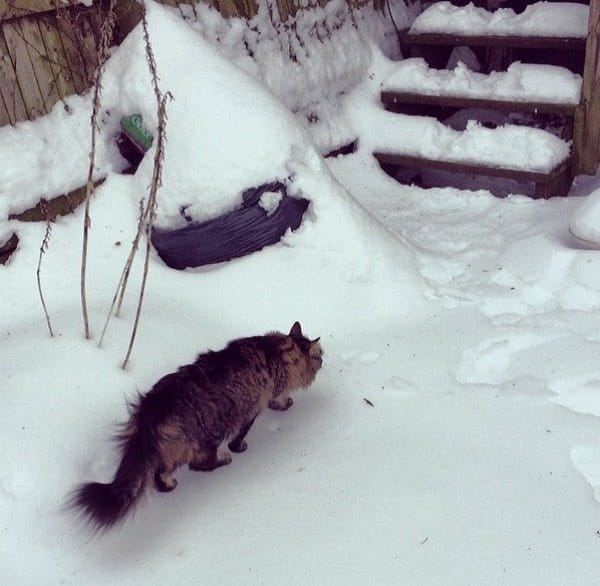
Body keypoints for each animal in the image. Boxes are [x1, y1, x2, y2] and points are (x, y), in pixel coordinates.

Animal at [69, 322, 324, 532]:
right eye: (319, 356)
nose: (324, 361)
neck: (276, 351)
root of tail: (151, 409)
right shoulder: (251, 411)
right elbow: (248, 429)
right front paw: (246, 442)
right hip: (205, 438)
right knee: (198, 464)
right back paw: (223, 460)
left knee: (160, 475)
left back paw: (170, 486)